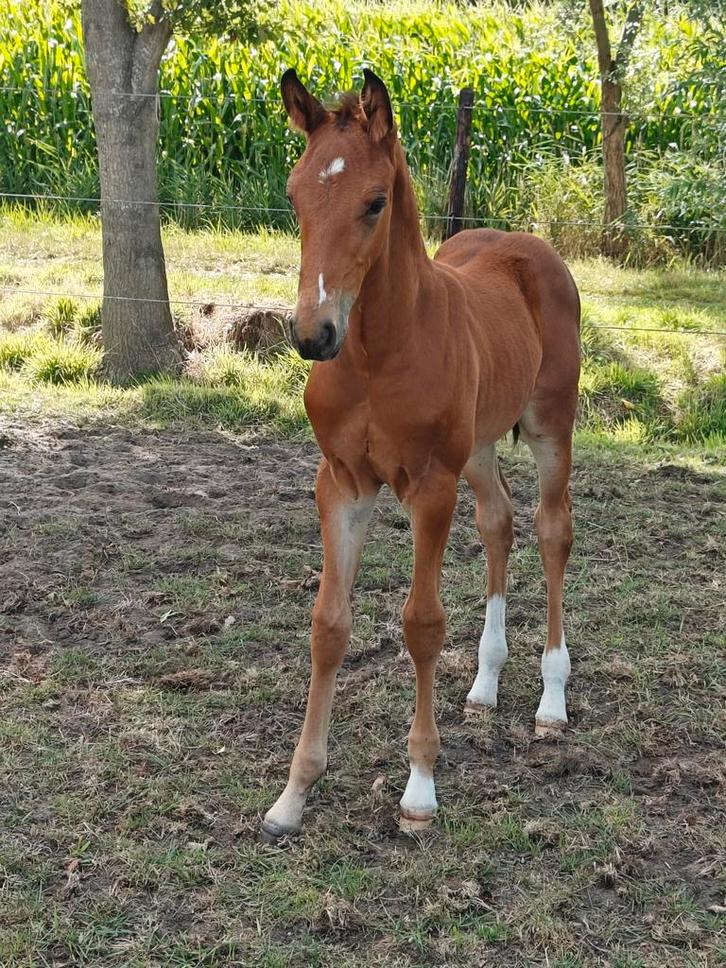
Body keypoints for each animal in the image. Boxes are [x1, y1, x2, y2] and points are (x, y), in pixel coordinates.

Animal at [261, 69, 580, 840]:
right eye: (294, 194)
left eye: (375, 202)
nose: (312, 334)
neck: (377, 355)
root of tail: (530, 246)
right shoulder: (342, 484)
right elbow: (328, 625)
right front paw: (294, 793)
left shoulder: (430, 487)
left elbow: (422, 625)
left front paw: (420, 789)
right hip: (482, 444)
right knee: (499, 522)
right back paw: (485, 684)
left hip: (550, 426)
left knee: (552, 529)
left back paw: (551, 701)